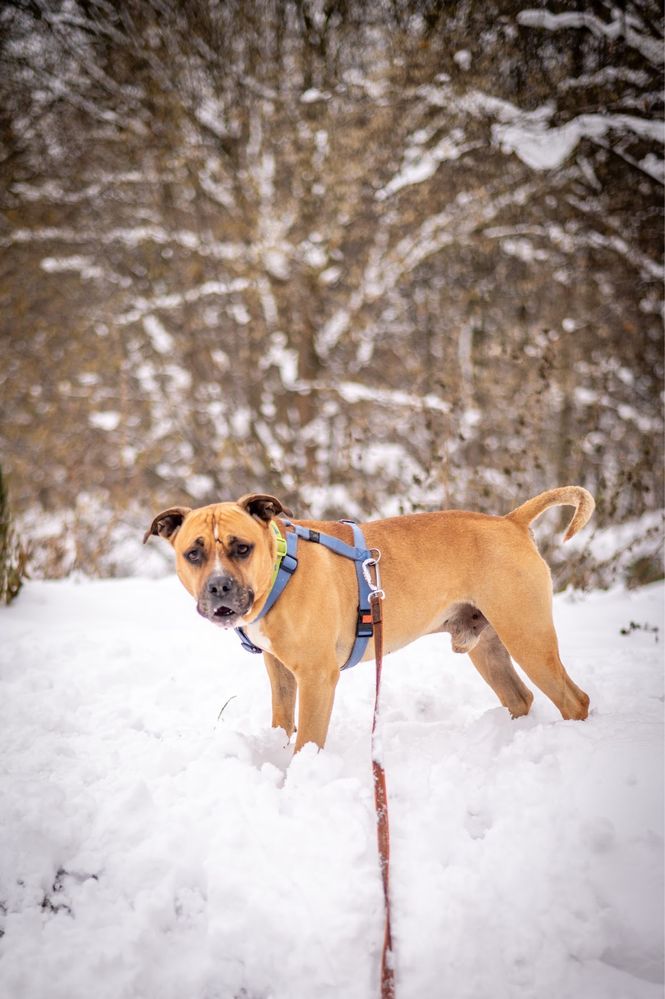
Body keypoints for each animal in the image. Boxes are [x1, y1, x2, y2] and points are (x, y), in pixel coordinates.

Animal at [144, 488, 592, 752]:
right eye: (193, 553)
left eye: (241, 547)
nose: (218, 587)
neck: (280, 568)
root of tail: (511, 522)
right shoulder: (280, 672)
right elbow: (282, 723)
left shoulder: (317, 677)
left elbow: (308, 739)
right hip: (487, 647)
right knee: (520, 697)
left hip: (527, 637)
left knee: (574, 700)